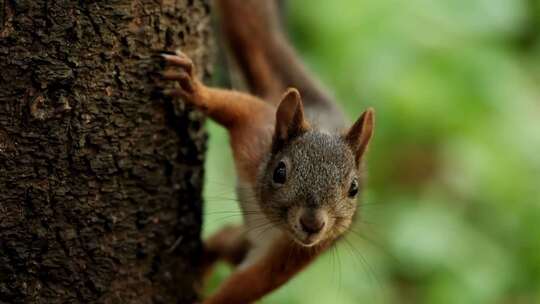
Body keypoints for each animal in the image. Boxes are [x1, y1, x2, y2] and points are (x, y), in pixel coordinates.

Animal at [161, 0, 376, 304]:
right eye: (280, 172)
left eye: (354, 189)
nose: (312, 224)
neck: (270, 218)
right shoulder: (254, 134)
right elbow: (237, 107)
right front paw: (195, 89)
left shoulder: (298, 251)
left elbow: (250, 283)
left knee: (226, 242)